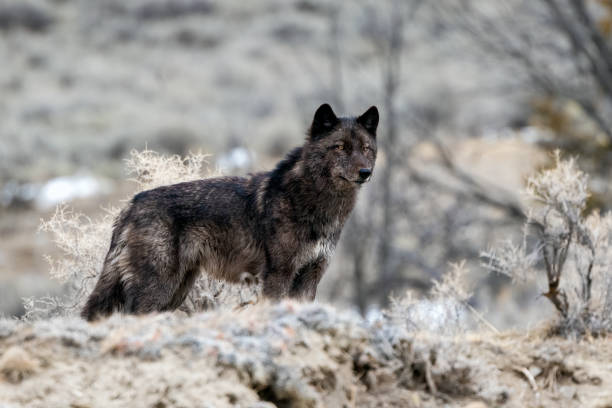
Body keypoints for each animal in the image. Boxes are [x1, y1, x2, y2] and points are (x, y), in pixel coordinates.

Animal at [81, 103, 378, 320]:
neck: (316, 203)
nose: (366, 172)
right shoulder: (278, 276)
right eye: (340, 147)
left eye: (366, 148)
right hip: (158, 288)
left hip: (176, 291)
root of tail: (132, 203)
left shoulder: (310, 277)